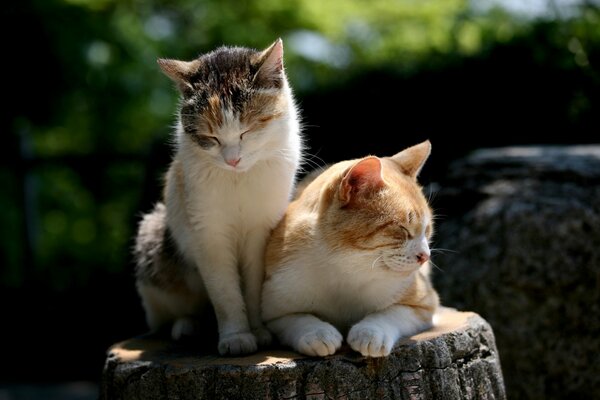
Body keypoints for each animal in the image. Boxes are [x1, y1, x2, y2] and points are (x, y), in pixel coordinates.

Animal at [137, 39, 304, 354]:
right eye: (211, 138)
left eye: (247, 131)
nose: (232, 160)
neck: (238, 179)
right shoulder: (209, 235)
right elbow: (225, 293)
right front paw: (236, 337)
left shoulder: (259, 234)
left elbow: (252, 287)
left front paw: (257, 331)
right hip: (154, 243)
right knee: (170, 314)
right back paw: (187, 326)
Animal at [260, 141, 438, 356]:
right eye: (402, 229)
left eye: (427, 230)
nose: (425, 256)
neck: (345, 268)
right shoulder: (273, 311)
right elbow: (297, 318)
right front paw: (317, 333)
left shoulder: (424, 304)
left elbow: (390, 313)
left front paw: (371, 333)